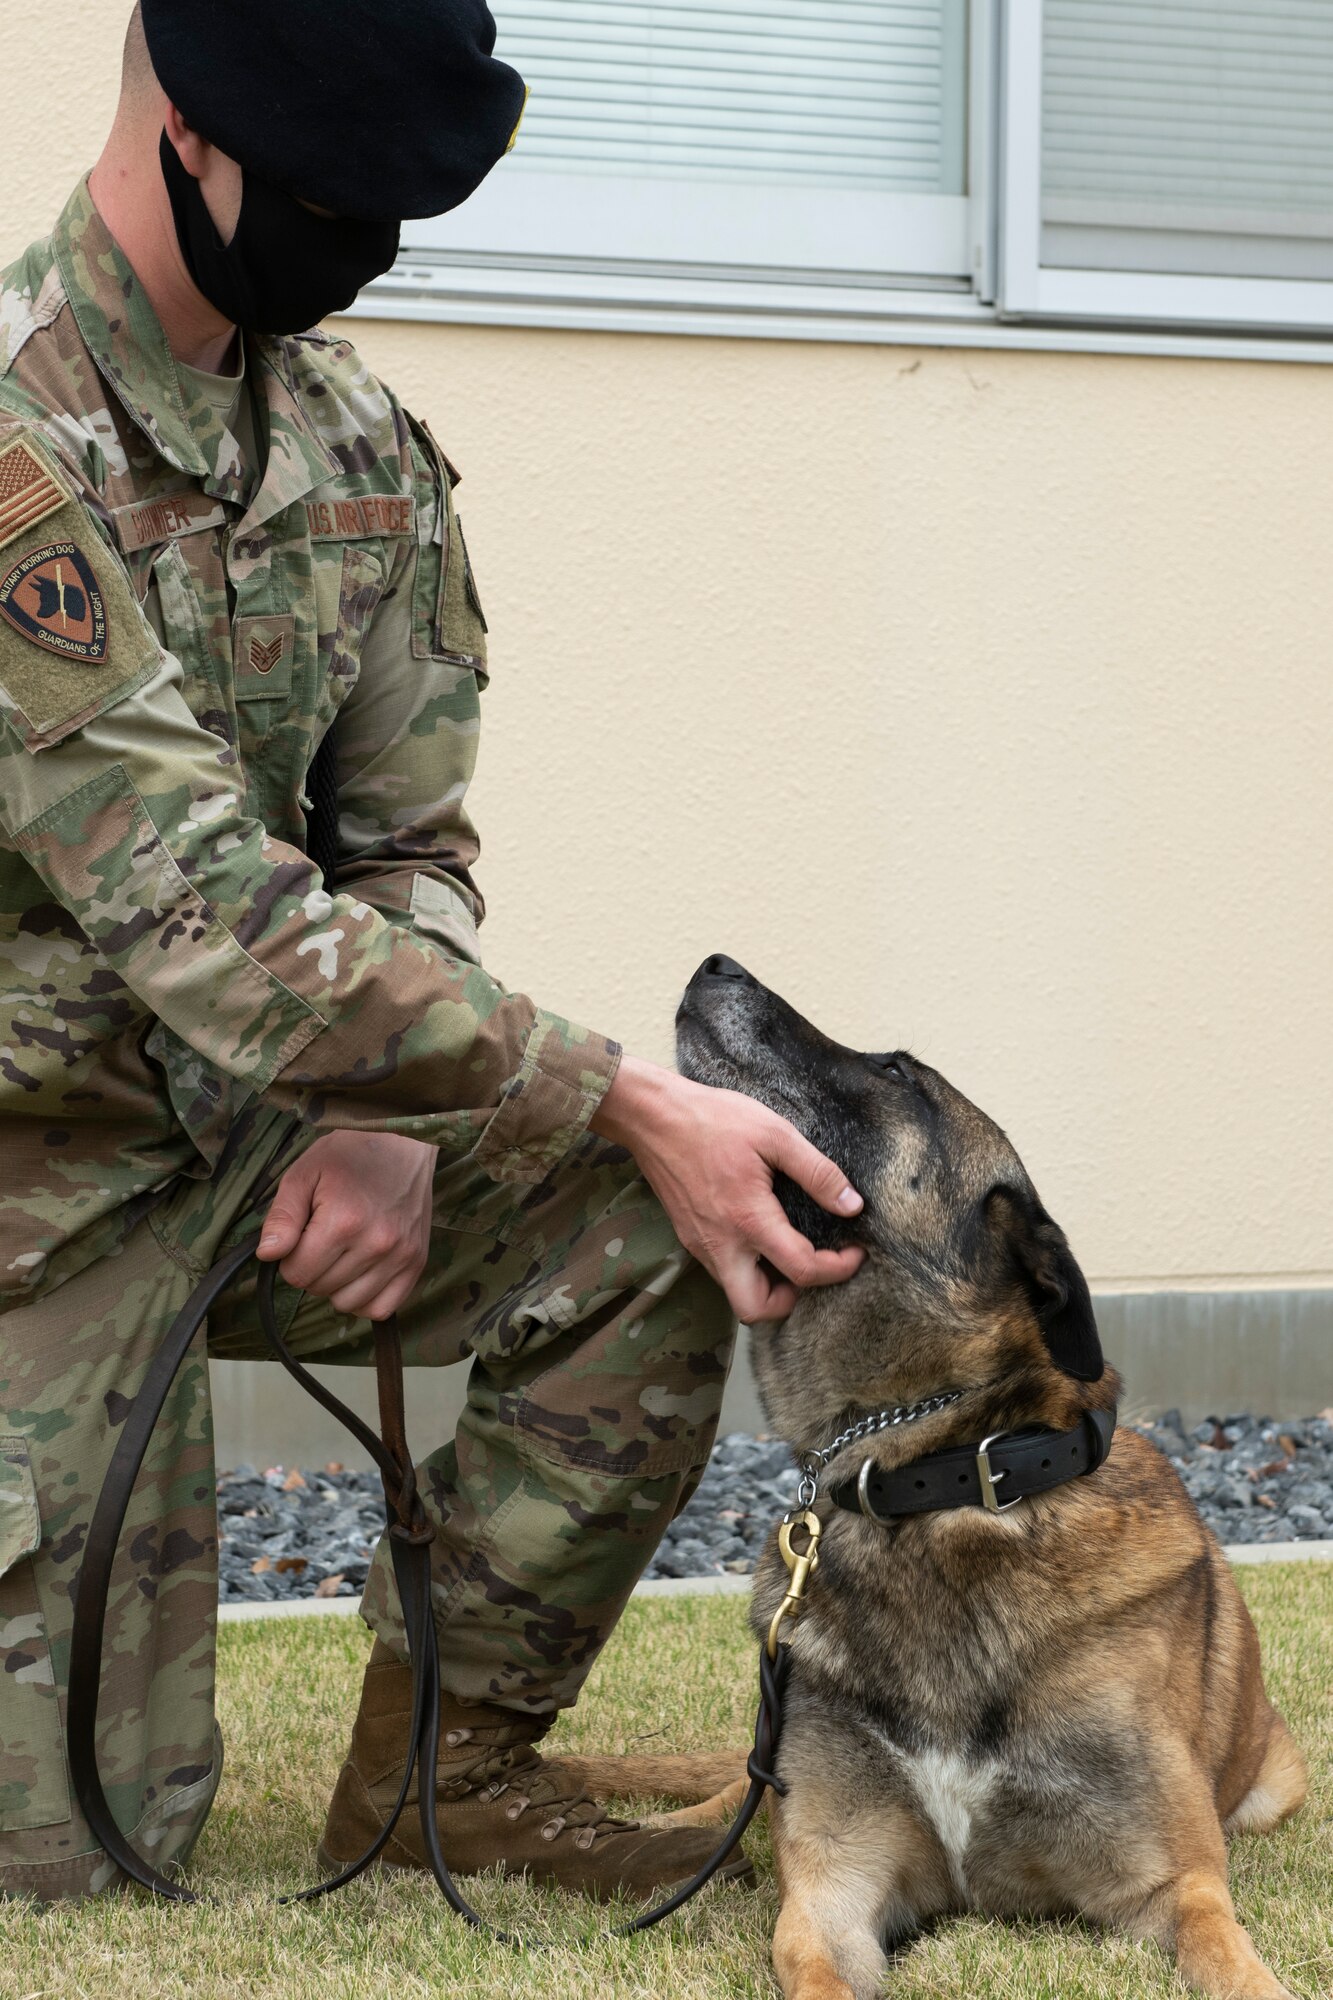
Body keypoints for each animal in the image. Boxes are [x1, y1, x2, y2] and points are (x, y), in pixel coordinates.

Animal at [564, 960, 1304, 1992]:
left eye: (897, 1072)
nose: (716, 965)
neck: (944, 1482)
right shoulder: (829, 1894)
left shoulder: (1176, 1886)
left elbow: (1234, 1964)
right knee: (726, 1803)